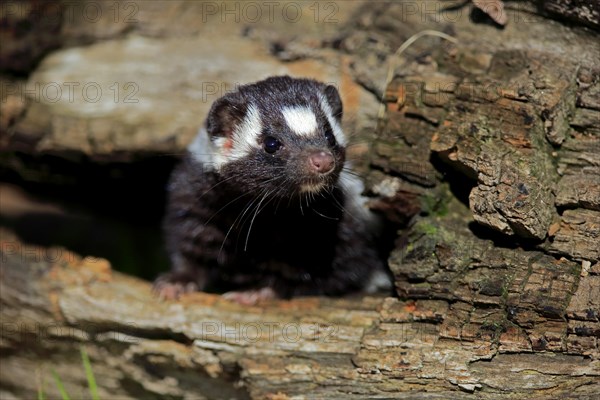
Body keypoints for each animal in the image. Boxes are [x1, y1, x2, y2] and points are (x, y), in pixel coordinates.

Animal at [155, 76, 392, 304]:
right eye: (271, 143)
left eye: (329, 135)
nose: (323, 160)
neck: (263, 221)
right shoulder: (195, 203)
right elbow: (189, 246)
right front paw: (176, 282)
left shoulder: (338, 230)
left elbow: (329, 272)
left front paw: (255, 292)